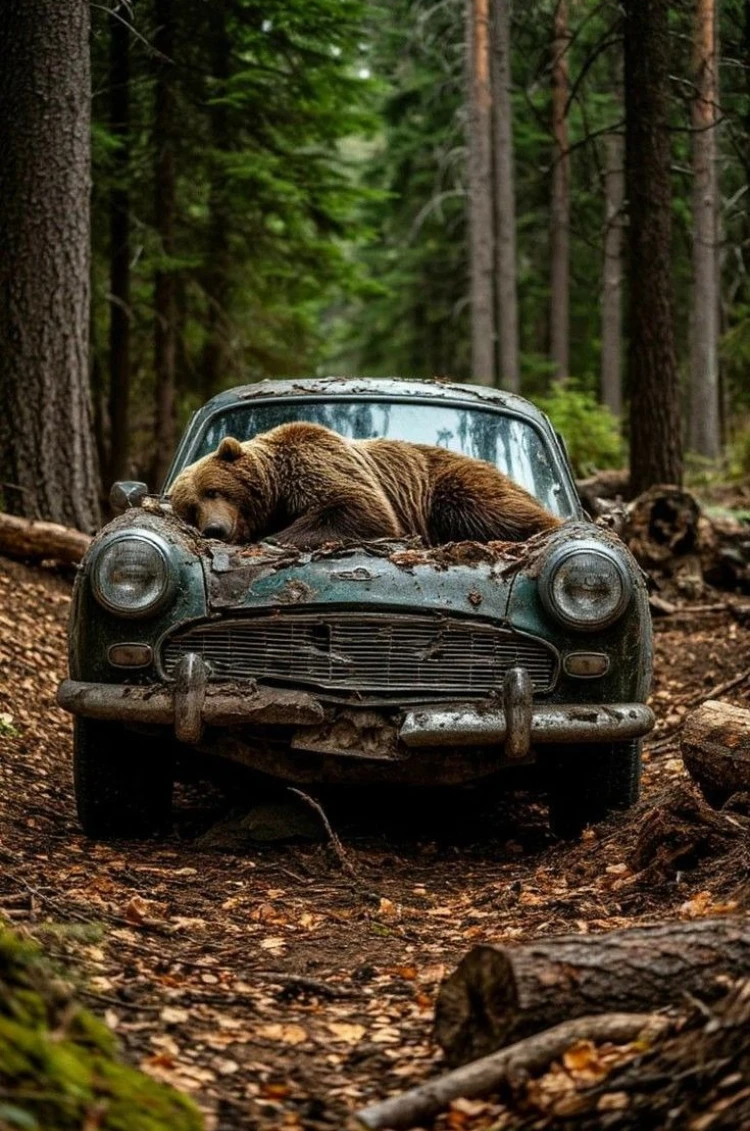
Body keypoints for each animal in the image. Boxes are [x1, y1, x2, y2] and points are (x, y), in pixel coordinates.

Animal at [169, 421, 561, 549]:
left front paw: (275, 537)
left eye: (214, 491)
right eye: (190, 509)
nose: (215, 529)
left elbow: (360, 506)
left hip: (452, 484)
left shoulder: (316, 463)